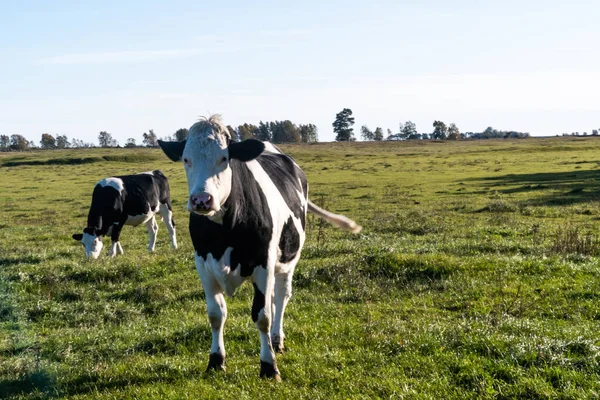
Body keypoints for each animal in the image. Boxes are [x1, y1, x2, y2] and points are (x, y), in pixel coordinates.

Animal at [156, 114, 360, 380]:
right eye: (186, 159)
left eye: (224, 158)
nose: (201, 200)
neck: (225, 232)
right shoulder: (203, 263)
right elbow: (216, 314)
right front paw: (216, 360)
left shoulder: (264, 263)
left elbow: (262, 315)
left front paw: (268, 366)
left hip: (287, 261)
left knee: (280, 298)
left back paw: (277, 340)